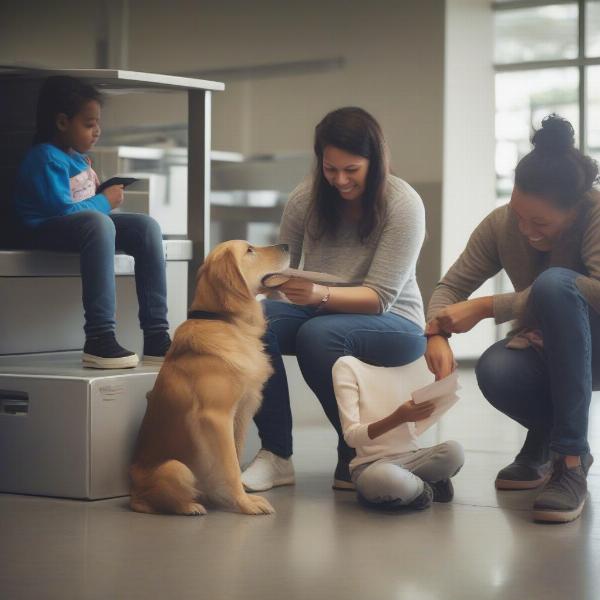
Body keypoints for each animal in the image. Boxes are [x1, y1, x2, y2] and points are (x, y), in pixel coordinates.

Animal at [130, 240, 290, 516]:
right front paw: (245, 504)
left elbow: (236, 456)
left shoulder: (241, 413)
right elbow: (231, 465)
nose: (286, 245)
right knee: (154, 501)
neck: (228, 322)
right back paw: (190, 506)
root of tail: (131, 493)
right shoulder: (216, 417)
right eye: (250, 250)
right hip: (177, 468)